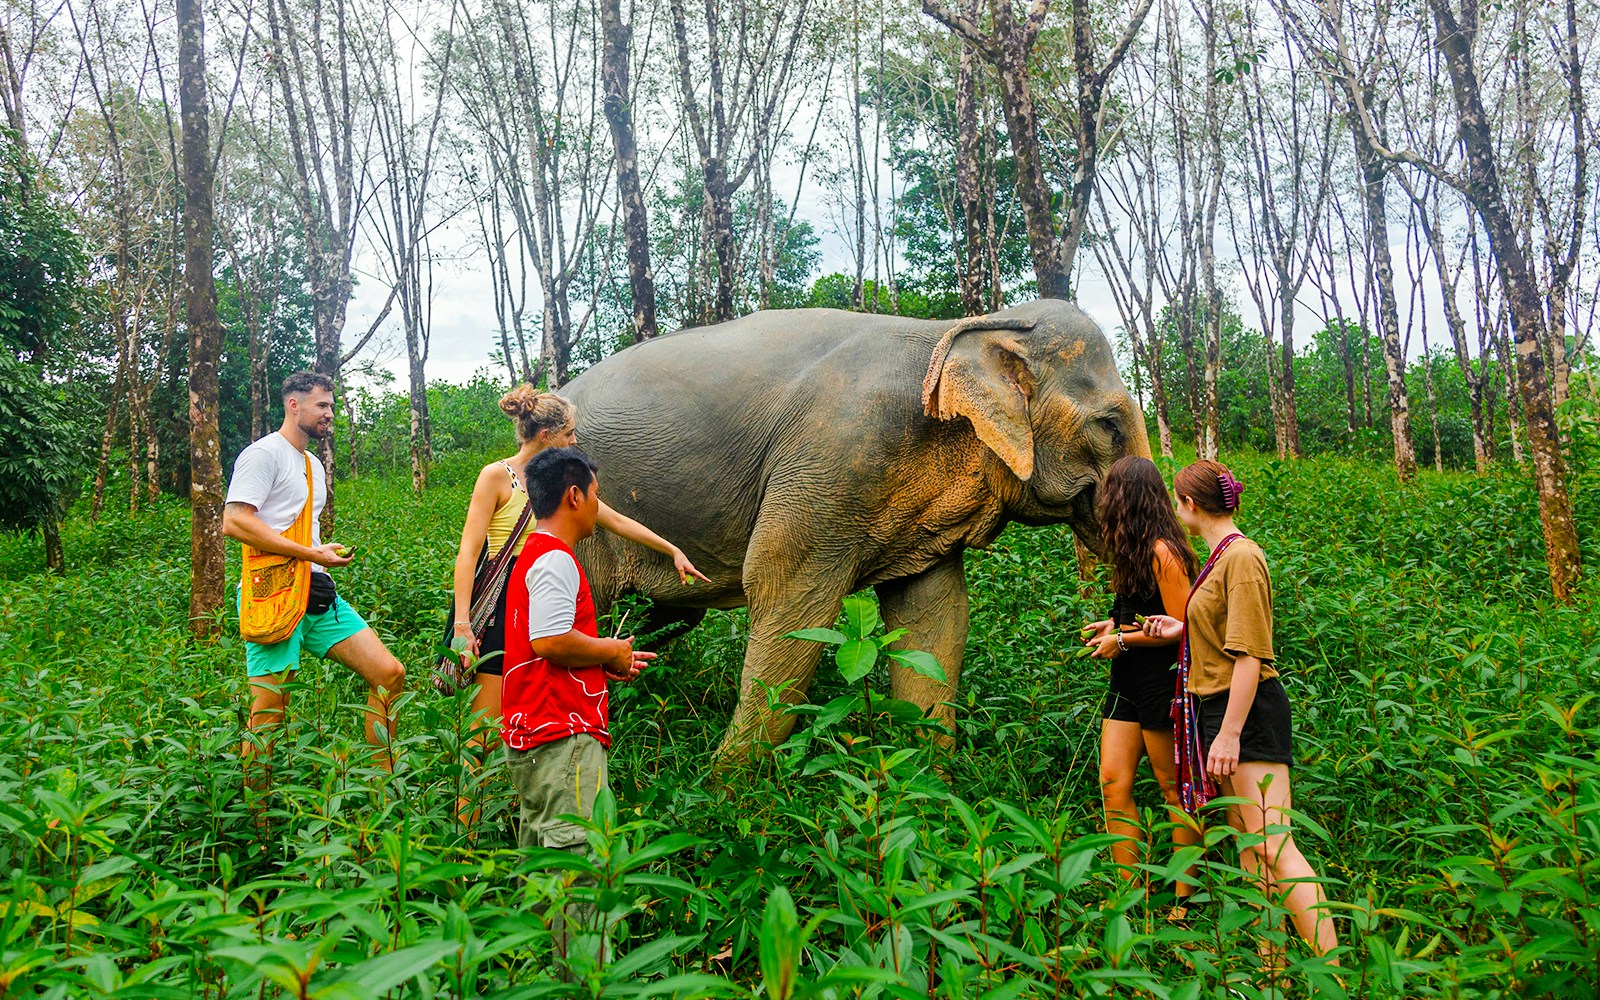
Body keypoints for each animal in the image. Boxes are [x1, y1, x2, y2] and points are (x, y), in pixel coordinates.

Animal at [560, 299, 1149, 765]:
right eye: (1108, 426)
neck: (964, 328)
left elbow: (934, 617)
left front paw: (929, 784)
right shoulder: (831, 459)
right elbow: (789, 596)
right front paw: (727, 793)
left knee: (666, 616)